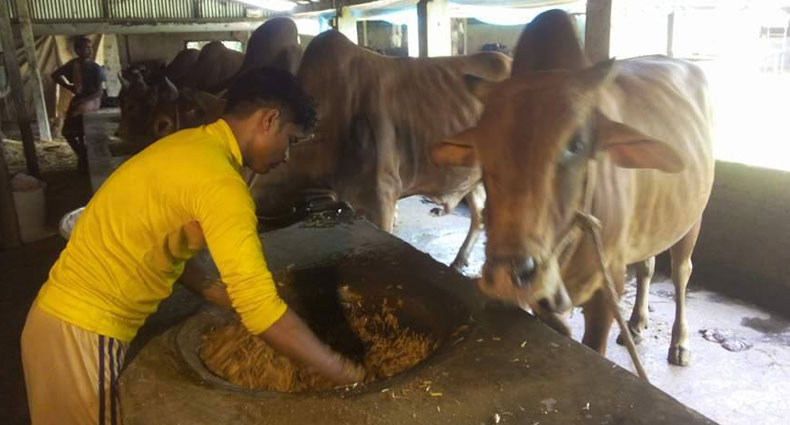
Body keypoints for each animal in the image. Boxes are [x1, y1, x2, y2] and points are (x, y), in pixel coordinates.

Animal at [430, 9, 714, 366]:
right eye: (481, 149)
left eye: (576, 145)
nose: (510, 273)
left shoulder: (608, 289)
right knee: (647, 265)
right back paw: (636, 324)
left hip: (693, 220)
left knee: (680, 273)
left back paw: (679, 343)